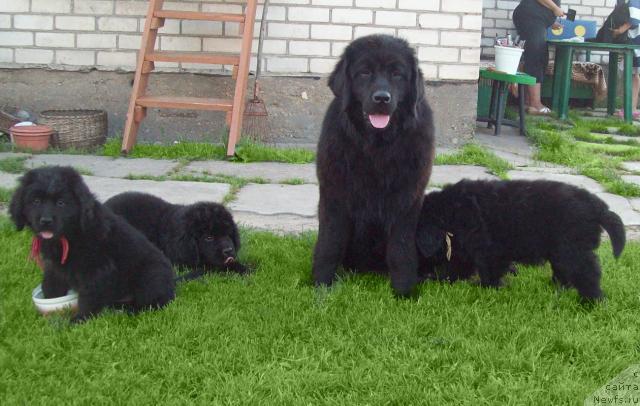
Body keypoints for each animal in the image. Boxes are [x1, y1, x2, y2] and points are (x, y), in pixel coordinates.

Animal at [10, 167, 175, 322]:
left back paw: (130, 311)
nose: (45, 221)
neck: (70, 235)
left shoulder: (96, 269)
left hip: (151, 276)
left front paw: (80, 319)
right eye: (36, 201)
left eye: (61, 203)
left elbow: (88, 297)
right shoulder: (54, 267)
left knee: (152, 302)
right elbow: (50, 285)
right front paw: (50, 308)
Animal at [312, 35, 436, 296]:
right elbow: (329, 243)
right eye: (364, 73)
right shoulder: (334, 196)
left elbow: (401, 250)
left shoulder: (406, 201)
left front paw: (404, 292)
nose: (381, 98)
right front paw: (322, 287)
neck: (377, 147)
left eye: (397, 74)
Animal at [416, 179, 624, 300]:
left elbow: (487, 271)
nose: (418, 275)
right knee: (565, 271)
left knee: (588, 272)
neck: (447, 214)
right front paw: (443, 279)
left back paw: (592, 300)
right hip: (561, 251)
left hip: (572, 250)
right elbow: (458, 268)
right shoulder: (467, 250)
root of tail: (598, 207)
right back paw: (558, 287)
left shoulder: (487, 249)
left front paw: (486, 287)